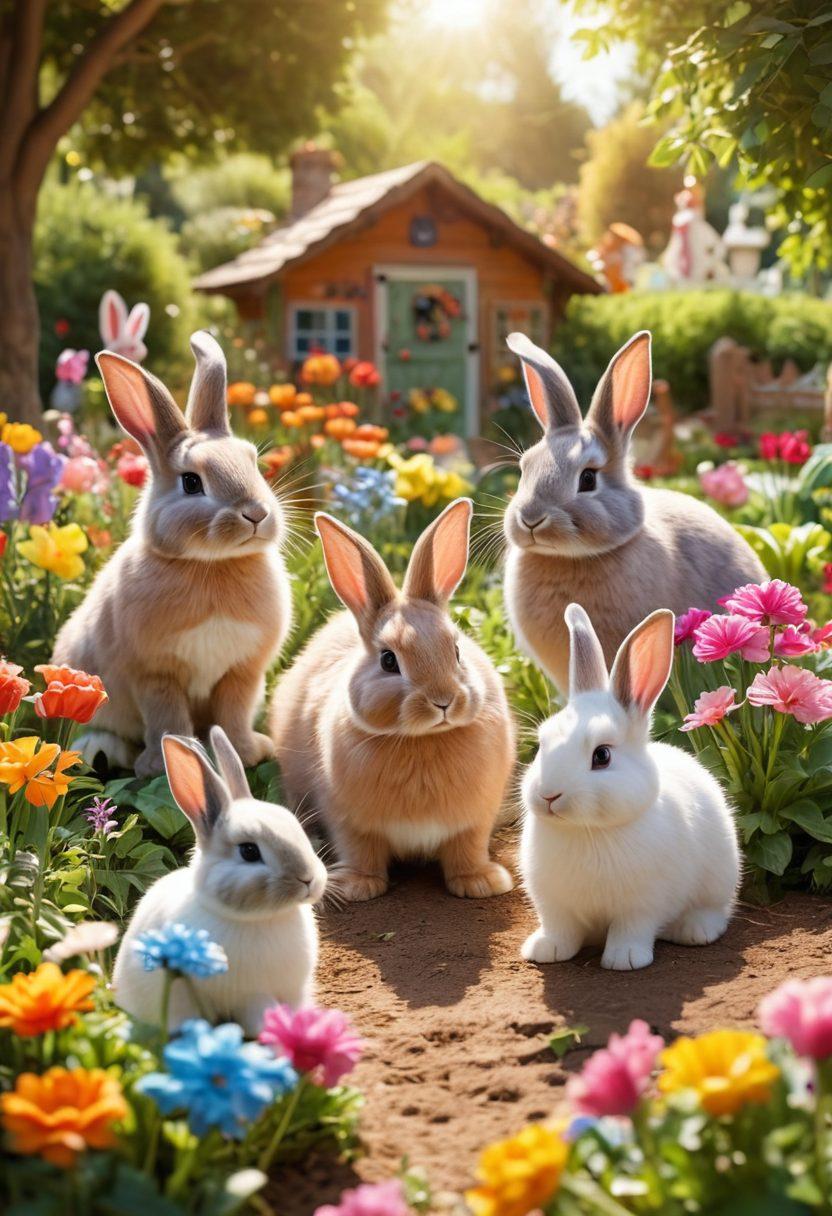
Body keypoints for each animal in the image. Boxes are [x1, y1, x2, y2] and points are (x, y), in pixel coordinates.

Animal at [52, 331, 291, 776]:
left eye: (253, 462)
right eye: (192, 482)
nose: (256, 514)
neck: (210, 564)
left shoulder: (242, 673)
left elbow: (232, 714)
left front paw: (247, 753)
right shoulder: (155, 673)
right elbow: (166, 716)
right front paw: (171, 762)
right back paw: (103, 751)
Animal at [113, 726, 327, 1035]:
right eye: (249, 851)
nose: (308, 879)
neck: (262, 919)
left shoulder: (293, 991)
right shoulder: (250, 996)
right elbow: (261, 1015)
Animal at [270, 498, 516, 903]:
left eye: (457, 649)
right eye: (388, 661)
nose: (443, 701)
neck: (421, 740)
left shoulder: (474, 819)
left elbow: (467, 849)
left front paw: (482, 883)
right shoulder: (348, 820)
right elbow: (361, 852)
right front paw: (357, 887)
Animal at [520, 602, 740, 972]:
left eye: (602, 756)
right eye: (541, 745)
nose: (548, 795)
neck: (587, 832)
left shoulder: (642, 904)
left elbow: (631, 928)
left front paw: (624, 959)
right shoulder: (553, 904)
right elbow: (559, 928)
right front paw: (545, 950)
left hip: (720, 877)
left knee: (715, 912)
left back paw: (695, 930)